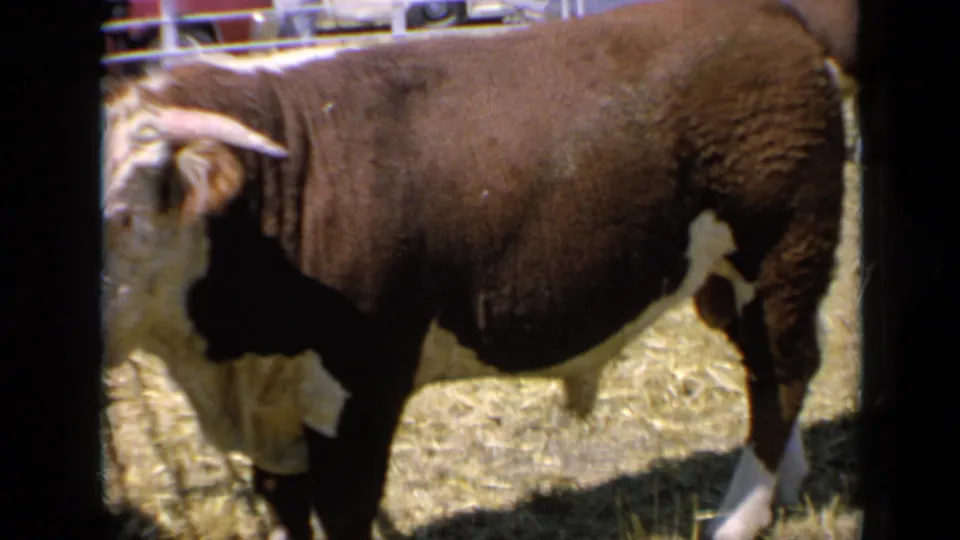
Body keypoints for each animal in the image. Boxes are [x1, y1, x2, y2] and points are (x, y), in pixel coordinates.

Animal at [100, 0, 858, 538]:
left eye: (122, 217)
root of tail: (773, 18)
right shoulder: (272, 402)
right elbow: (283, 506)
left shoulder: (364, 390)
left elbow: (343, 510)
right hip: (725, 276)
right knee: (766, 366)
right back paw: (782, 485)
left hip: (784, 246)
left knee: (784, 373)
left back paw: (740, 516)